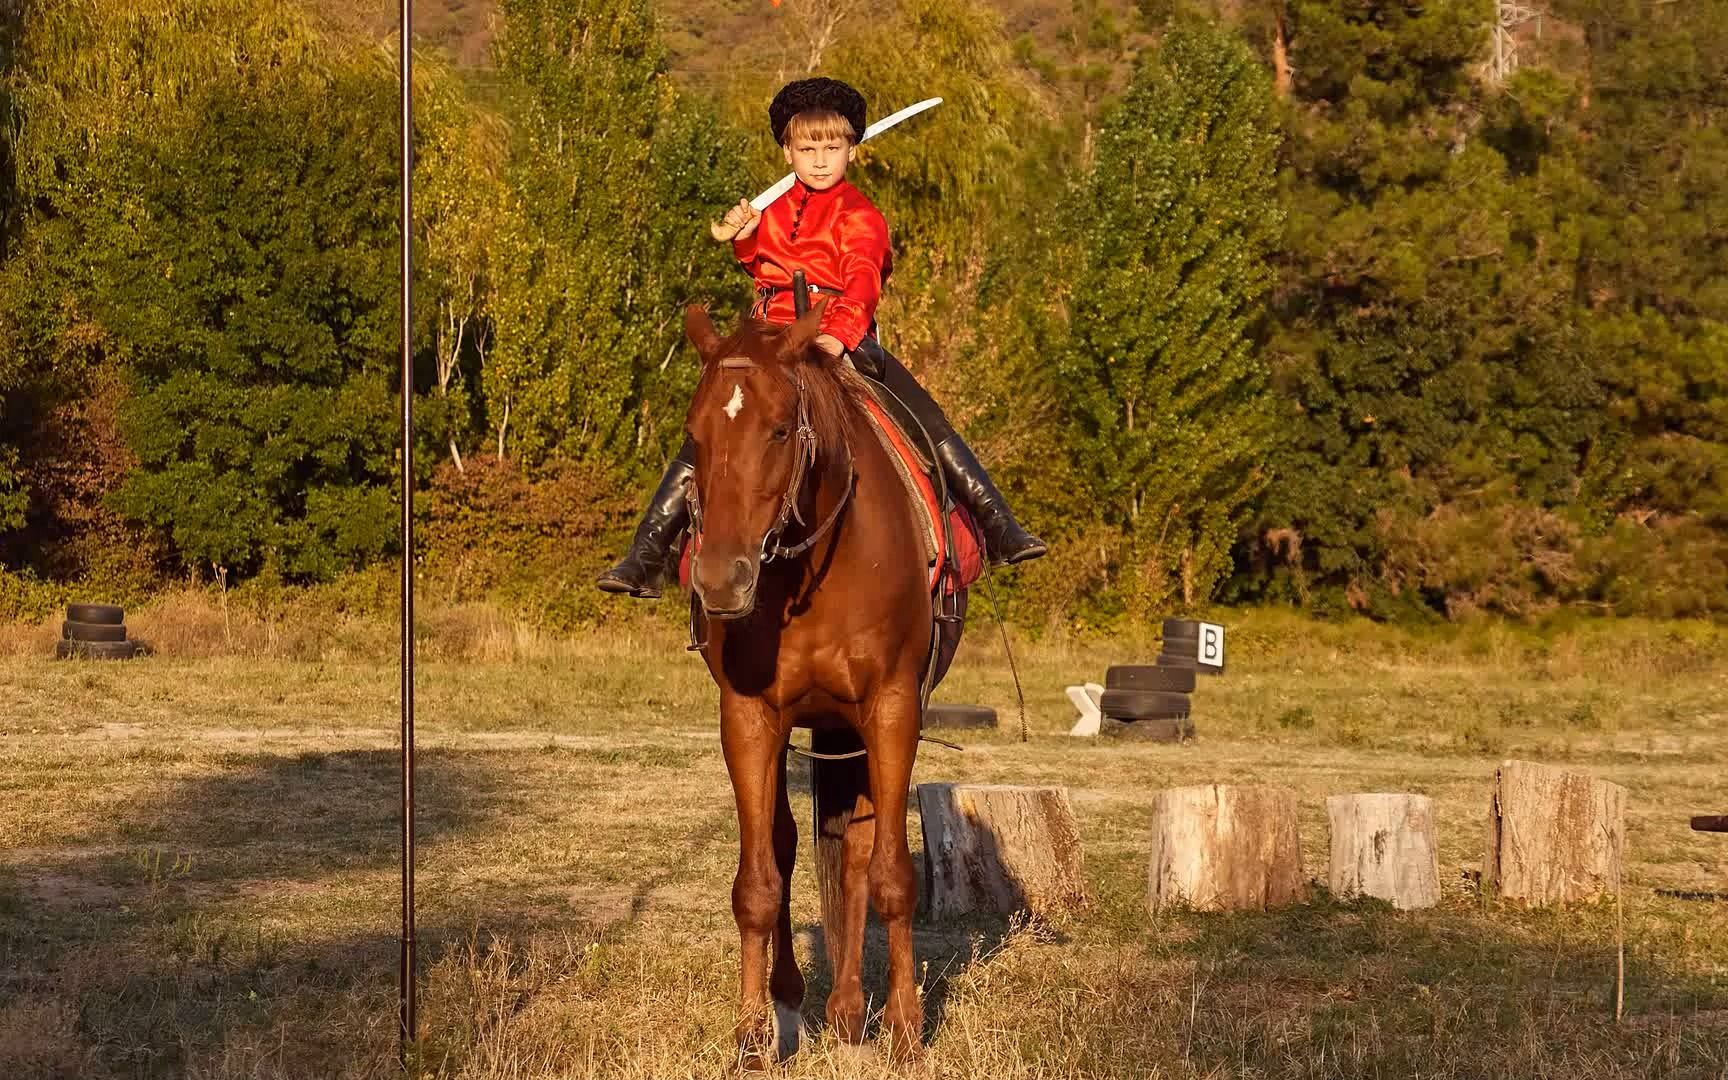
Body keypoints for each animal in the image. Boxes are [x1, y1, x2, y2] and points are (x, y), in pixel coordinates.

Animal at [684, 298, 960, 1064]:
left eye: (780, 428)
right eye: (694, 435)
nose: (721, 579)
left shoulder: (892, 710)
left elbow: (891, 872)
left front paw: (904, 1028)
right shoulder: (748, 718)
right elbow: (758, 882)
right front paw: (752, 1035)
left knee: (861, 851)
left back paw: (848, 1009)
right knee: (785, 846)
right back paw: (800, 1003)